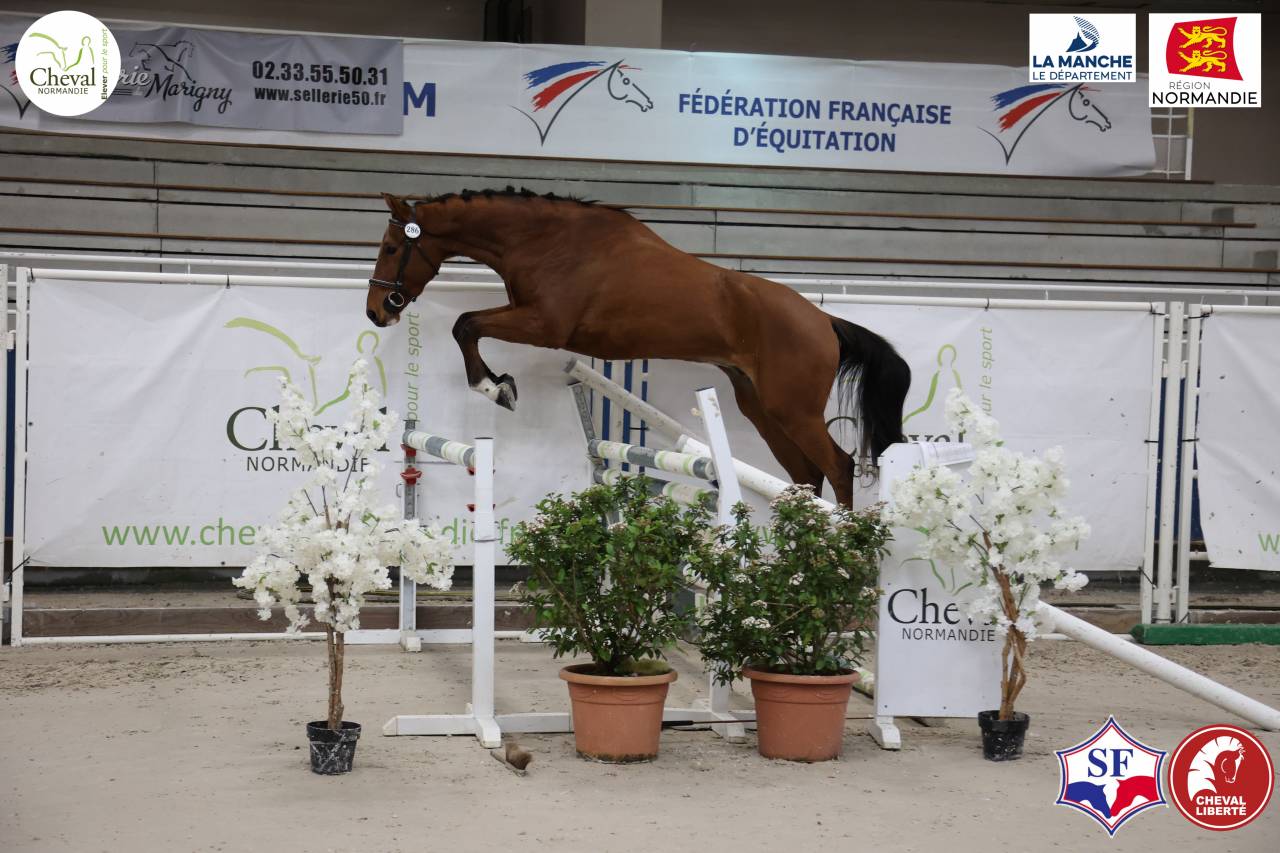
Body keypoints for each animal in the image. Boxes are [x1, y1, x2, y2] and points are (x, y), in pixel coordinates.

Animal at [364, 189, 910, 506]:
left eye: (391, 248)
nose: (376, 311)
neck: (545, 241)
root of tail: (824, 321)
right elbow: (468, 325)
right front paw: (499, 385)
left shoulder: (544, 324)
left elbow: (465, 324)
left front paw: (496, 388)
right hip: (760, 407)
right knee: (804, 475)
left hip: (792, 409)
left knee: (838, 467)